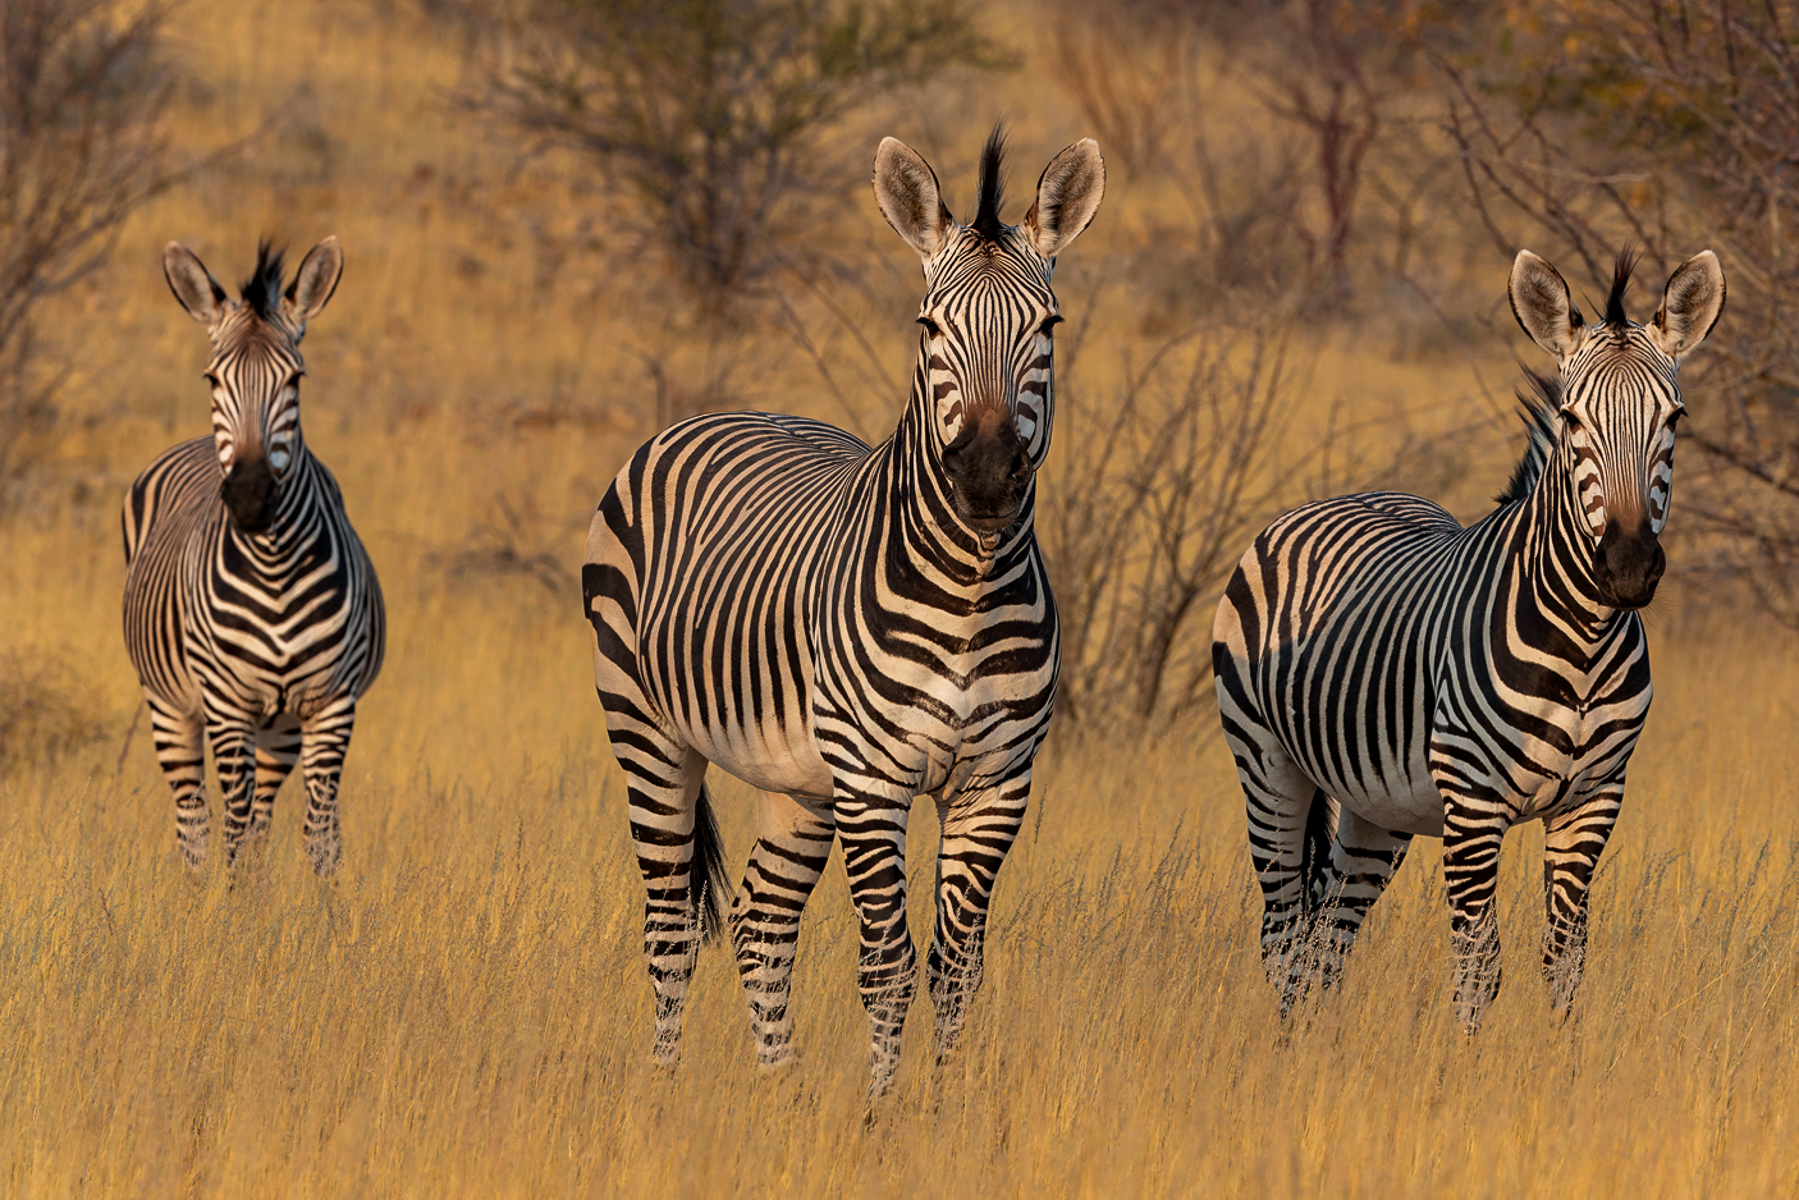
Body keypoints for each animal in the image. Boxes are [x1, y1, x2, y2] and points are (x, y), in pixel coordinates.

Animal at [122, 238, 384, 876]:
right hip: (170, 708)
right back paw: (198, 894)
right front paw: (234, 904)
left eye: (295, 380)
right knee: (195, 820)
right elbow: (233, 834)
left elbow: (320, 835)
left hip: (280, 727)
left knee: (262, 819)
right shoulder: (226, 705)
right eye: (212, 379)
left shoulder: (330, 704)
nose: (248, 496)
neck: (274, 567)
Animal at [583, 129, 1104, 1092]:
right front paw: (879, 1112)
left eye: (1047, 327)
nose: (984, 476)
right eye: (927, 328)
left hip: (796, 780)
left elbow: (955, 966)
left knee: (759, 923)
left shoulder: (995, 784)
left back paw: (780, 1094)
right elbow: (886, 965)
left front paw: (941, 1109)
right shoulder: (872, 779)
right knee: (671, 927)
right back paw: (663, 1092)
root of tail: (728, 409)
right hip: (646, 729)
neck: (969, 589)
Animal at [1212, 249, 1724, 1029]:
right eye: (1571, 419)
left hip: (1377, 806)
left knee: (1329, 933)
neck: (1583, 643)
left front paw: (1560, 1055)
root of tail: (1331, 499)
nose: (1629, 567)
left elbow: (1564, 960)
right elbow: (1480, 965)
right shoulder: (1474, 805)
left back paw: (1321, 1048)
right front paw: (1468, 1062)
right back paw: (1287, 1045)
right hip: (1266, 765)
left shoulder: (1594, 800)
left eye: (1674, 417)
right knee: (1282, 933)